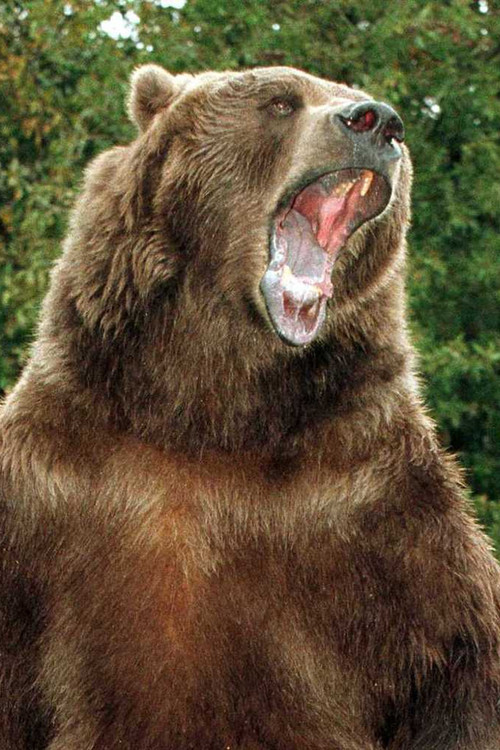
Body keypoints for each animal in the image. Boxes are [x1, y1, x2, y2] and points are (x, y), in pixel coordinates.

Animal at [1, 63, 500, 750]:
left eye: (353, 99)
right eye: (281, 101)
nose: (379, 121)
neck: (210, 408)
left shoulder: (375, 511)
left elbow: (457, 669)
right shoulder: (51, 493)